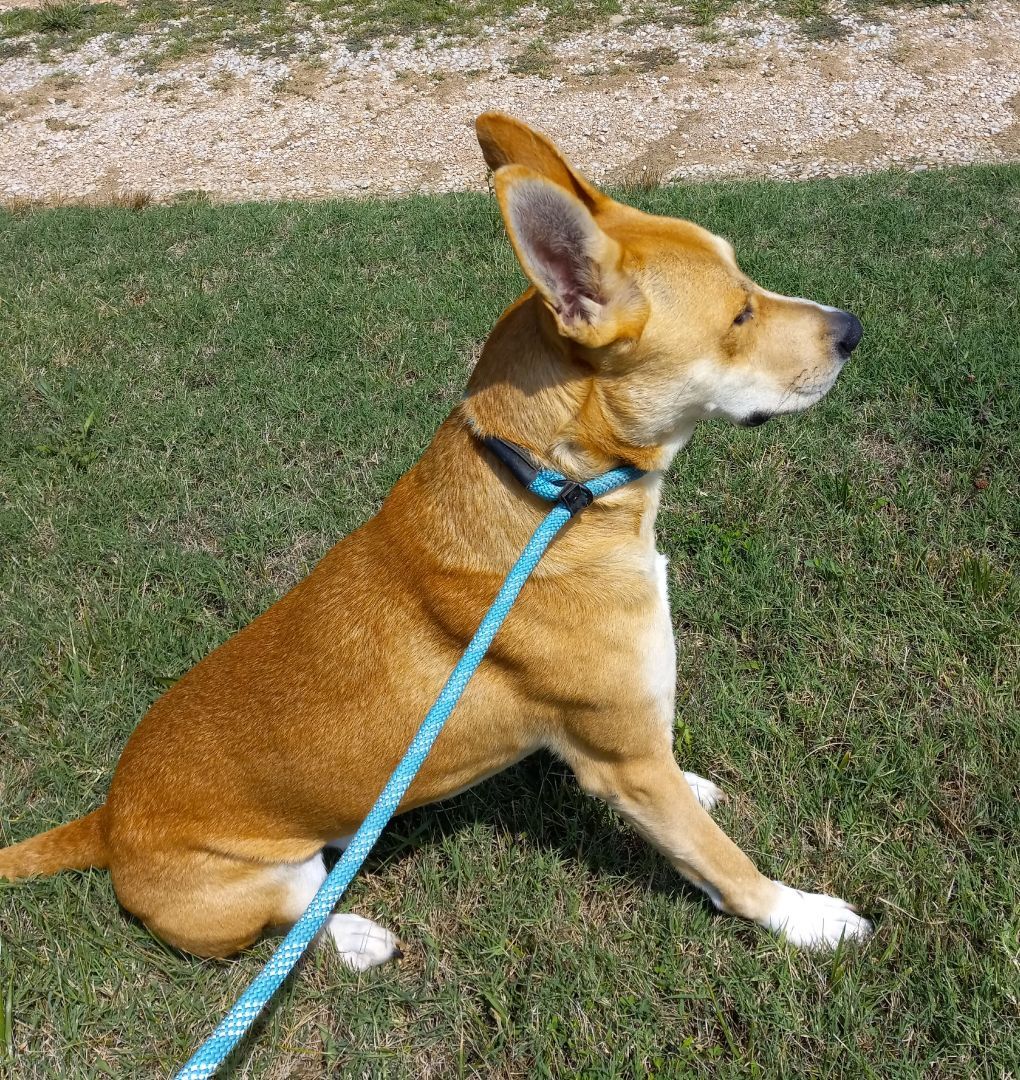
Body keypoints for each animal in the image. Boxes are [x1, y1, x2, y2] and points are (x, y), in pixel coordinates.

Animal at [3, 113, 873, 967]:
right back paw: (357, 938)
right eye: (738, 317)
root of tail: (107, 823)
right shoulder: (623, 764)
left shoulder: (639, 740)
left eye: (747, 280)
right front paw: (805, 918)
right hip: (245, 891)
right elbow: (723, 861)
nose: (853, 329)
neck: (554, 490)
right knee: (291, 922)